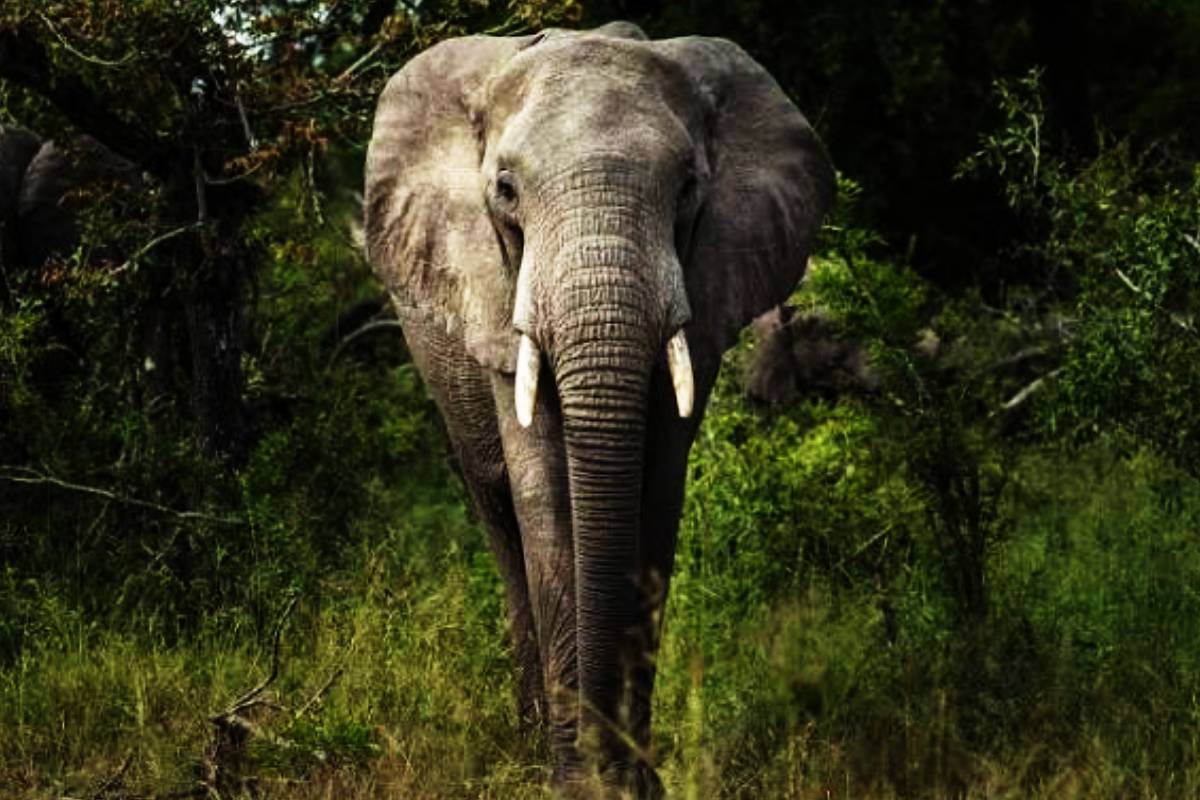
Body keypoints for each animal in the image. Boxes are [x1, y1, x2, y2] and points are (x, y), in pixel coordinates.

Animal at [364, 21, 834, 796]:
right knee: (499, 519)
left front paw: (634, 783)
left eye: (688, 188)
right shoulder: (493, 294)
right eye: (505, 191)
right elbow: (545, 498)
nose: (602, 760)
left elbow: (655, 496)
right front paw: (575, 783)